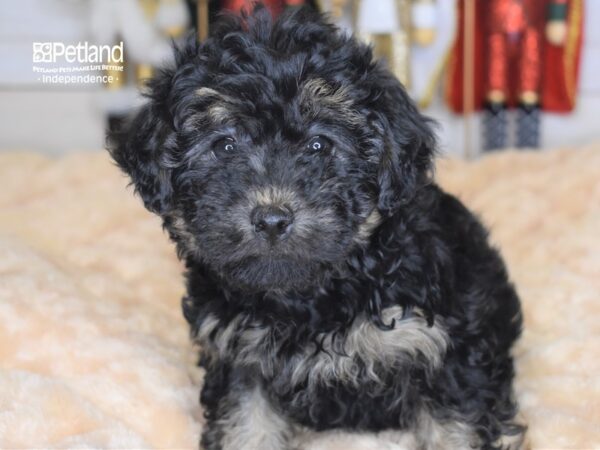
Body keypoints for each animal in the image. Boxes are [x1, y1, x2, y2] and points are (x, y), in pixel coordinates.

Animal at [109, 4, 524, 450]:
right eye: (224, 145)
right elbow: (246, 422)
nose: (272, 218)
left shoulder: (444, 349)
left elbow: (456, 426)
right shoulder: (239, 355)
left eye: (319, 145)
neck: (309, 297)